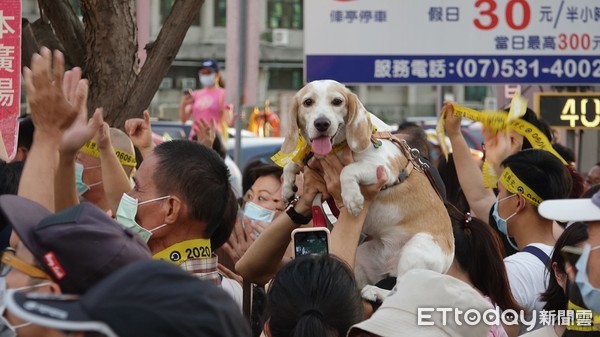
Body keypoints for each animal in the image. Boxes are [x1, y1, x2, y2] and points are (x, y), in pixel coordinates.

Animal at [278, 79, 452, 286]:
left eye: (337, 101)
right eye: (307, 102)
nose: (322, 123)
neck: (338, 147)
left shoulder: (383, 167)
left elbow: (347, 171)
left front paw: (352, 200)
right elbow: (291, 164)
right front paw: (287, 188)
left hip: (416, 250)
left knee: (401, 287)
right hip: (363, 256)